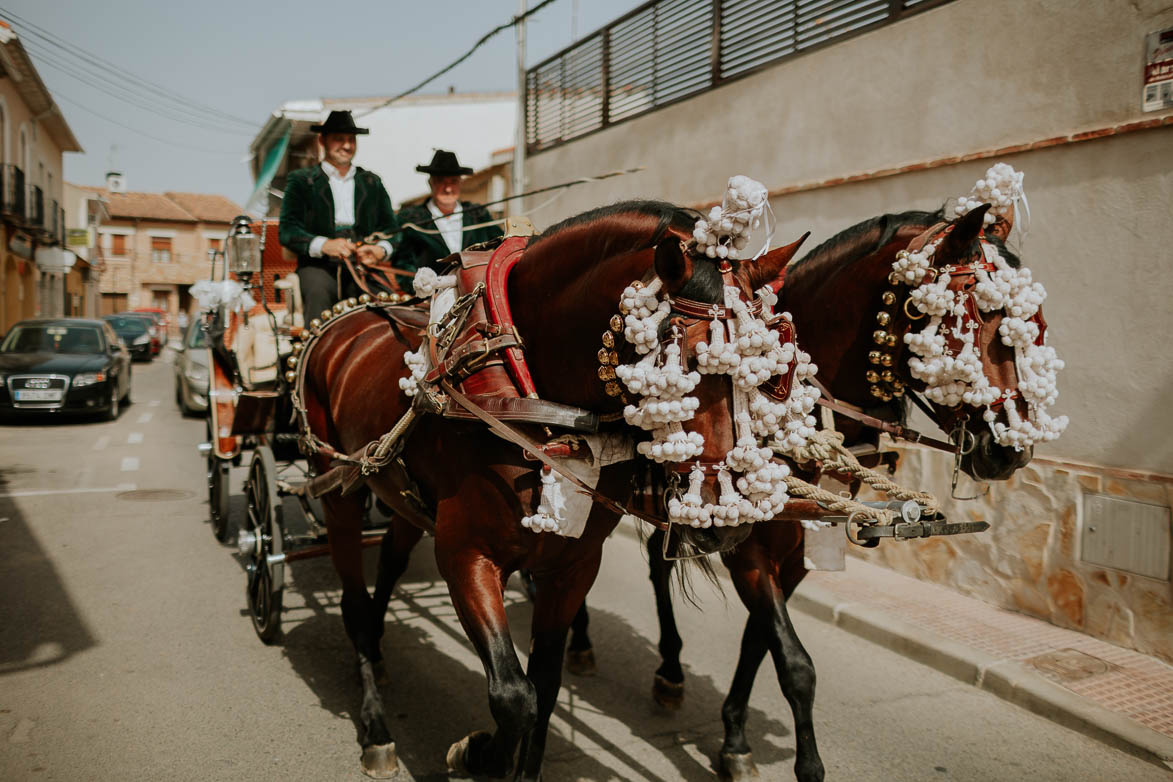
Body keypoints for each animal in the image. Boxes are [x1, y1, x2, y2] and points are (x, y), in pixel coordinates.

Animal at [297, 204, 807, 782]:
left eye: (770, 372)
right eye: (685, 364)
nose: (730, 523)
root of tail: (349, 316)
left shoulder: (574, 565)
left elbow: (542, 685)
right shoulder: (465, 554)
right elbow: (513, 695)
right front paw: (477, 751)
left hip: (402, 495)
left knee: (389, 560)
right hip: (336, 487)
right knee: (353, 601)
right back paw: (376, 726)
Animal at [563, 204, 1041, 782]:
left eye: (1032, 323)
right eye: (972, 317)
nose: (1010, 450)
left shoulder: (796, 555)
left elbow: (758, 643)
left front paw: (734, 737)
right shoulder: (749, 549)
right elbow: (794, 663)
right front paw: (800, 763)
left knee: (656, 564)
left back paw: (670, 671)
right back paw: (581, 641)